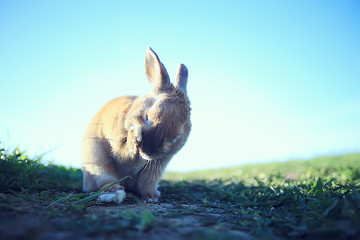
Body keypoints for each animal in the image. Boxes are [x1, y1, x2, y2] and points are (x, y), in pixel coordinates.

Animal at [80, 47, 190, 202]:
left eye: (176, 138)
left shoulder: (156, 167)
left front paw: (151, 198)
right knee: (104, 181)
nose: (147, 152)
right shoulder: (117, 143)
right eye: (147, 117)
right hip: (96, 163)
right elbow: (123, 150)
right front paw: (135, 135)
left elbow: (146, 183)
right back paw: (113, 190)